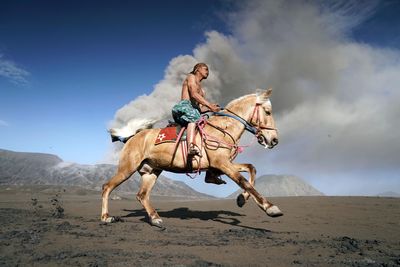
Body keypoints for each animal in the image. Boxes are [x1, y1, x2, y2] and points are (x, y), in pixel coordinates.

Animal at [101, 89, 282, 227]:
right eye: (267, 111)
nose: (274, 140)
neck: (223, 129)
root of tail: (132, 137)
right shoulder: (222, 163)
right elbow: (243, 181)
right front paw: (270, 208)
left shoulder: (223, 164)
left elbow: (251, 168)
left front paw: (242, 199)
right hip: (127, 168)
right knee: (107, 187)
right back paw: (106, 217)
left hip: (151, 172)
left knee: (142, 195)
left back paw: (155, 218)